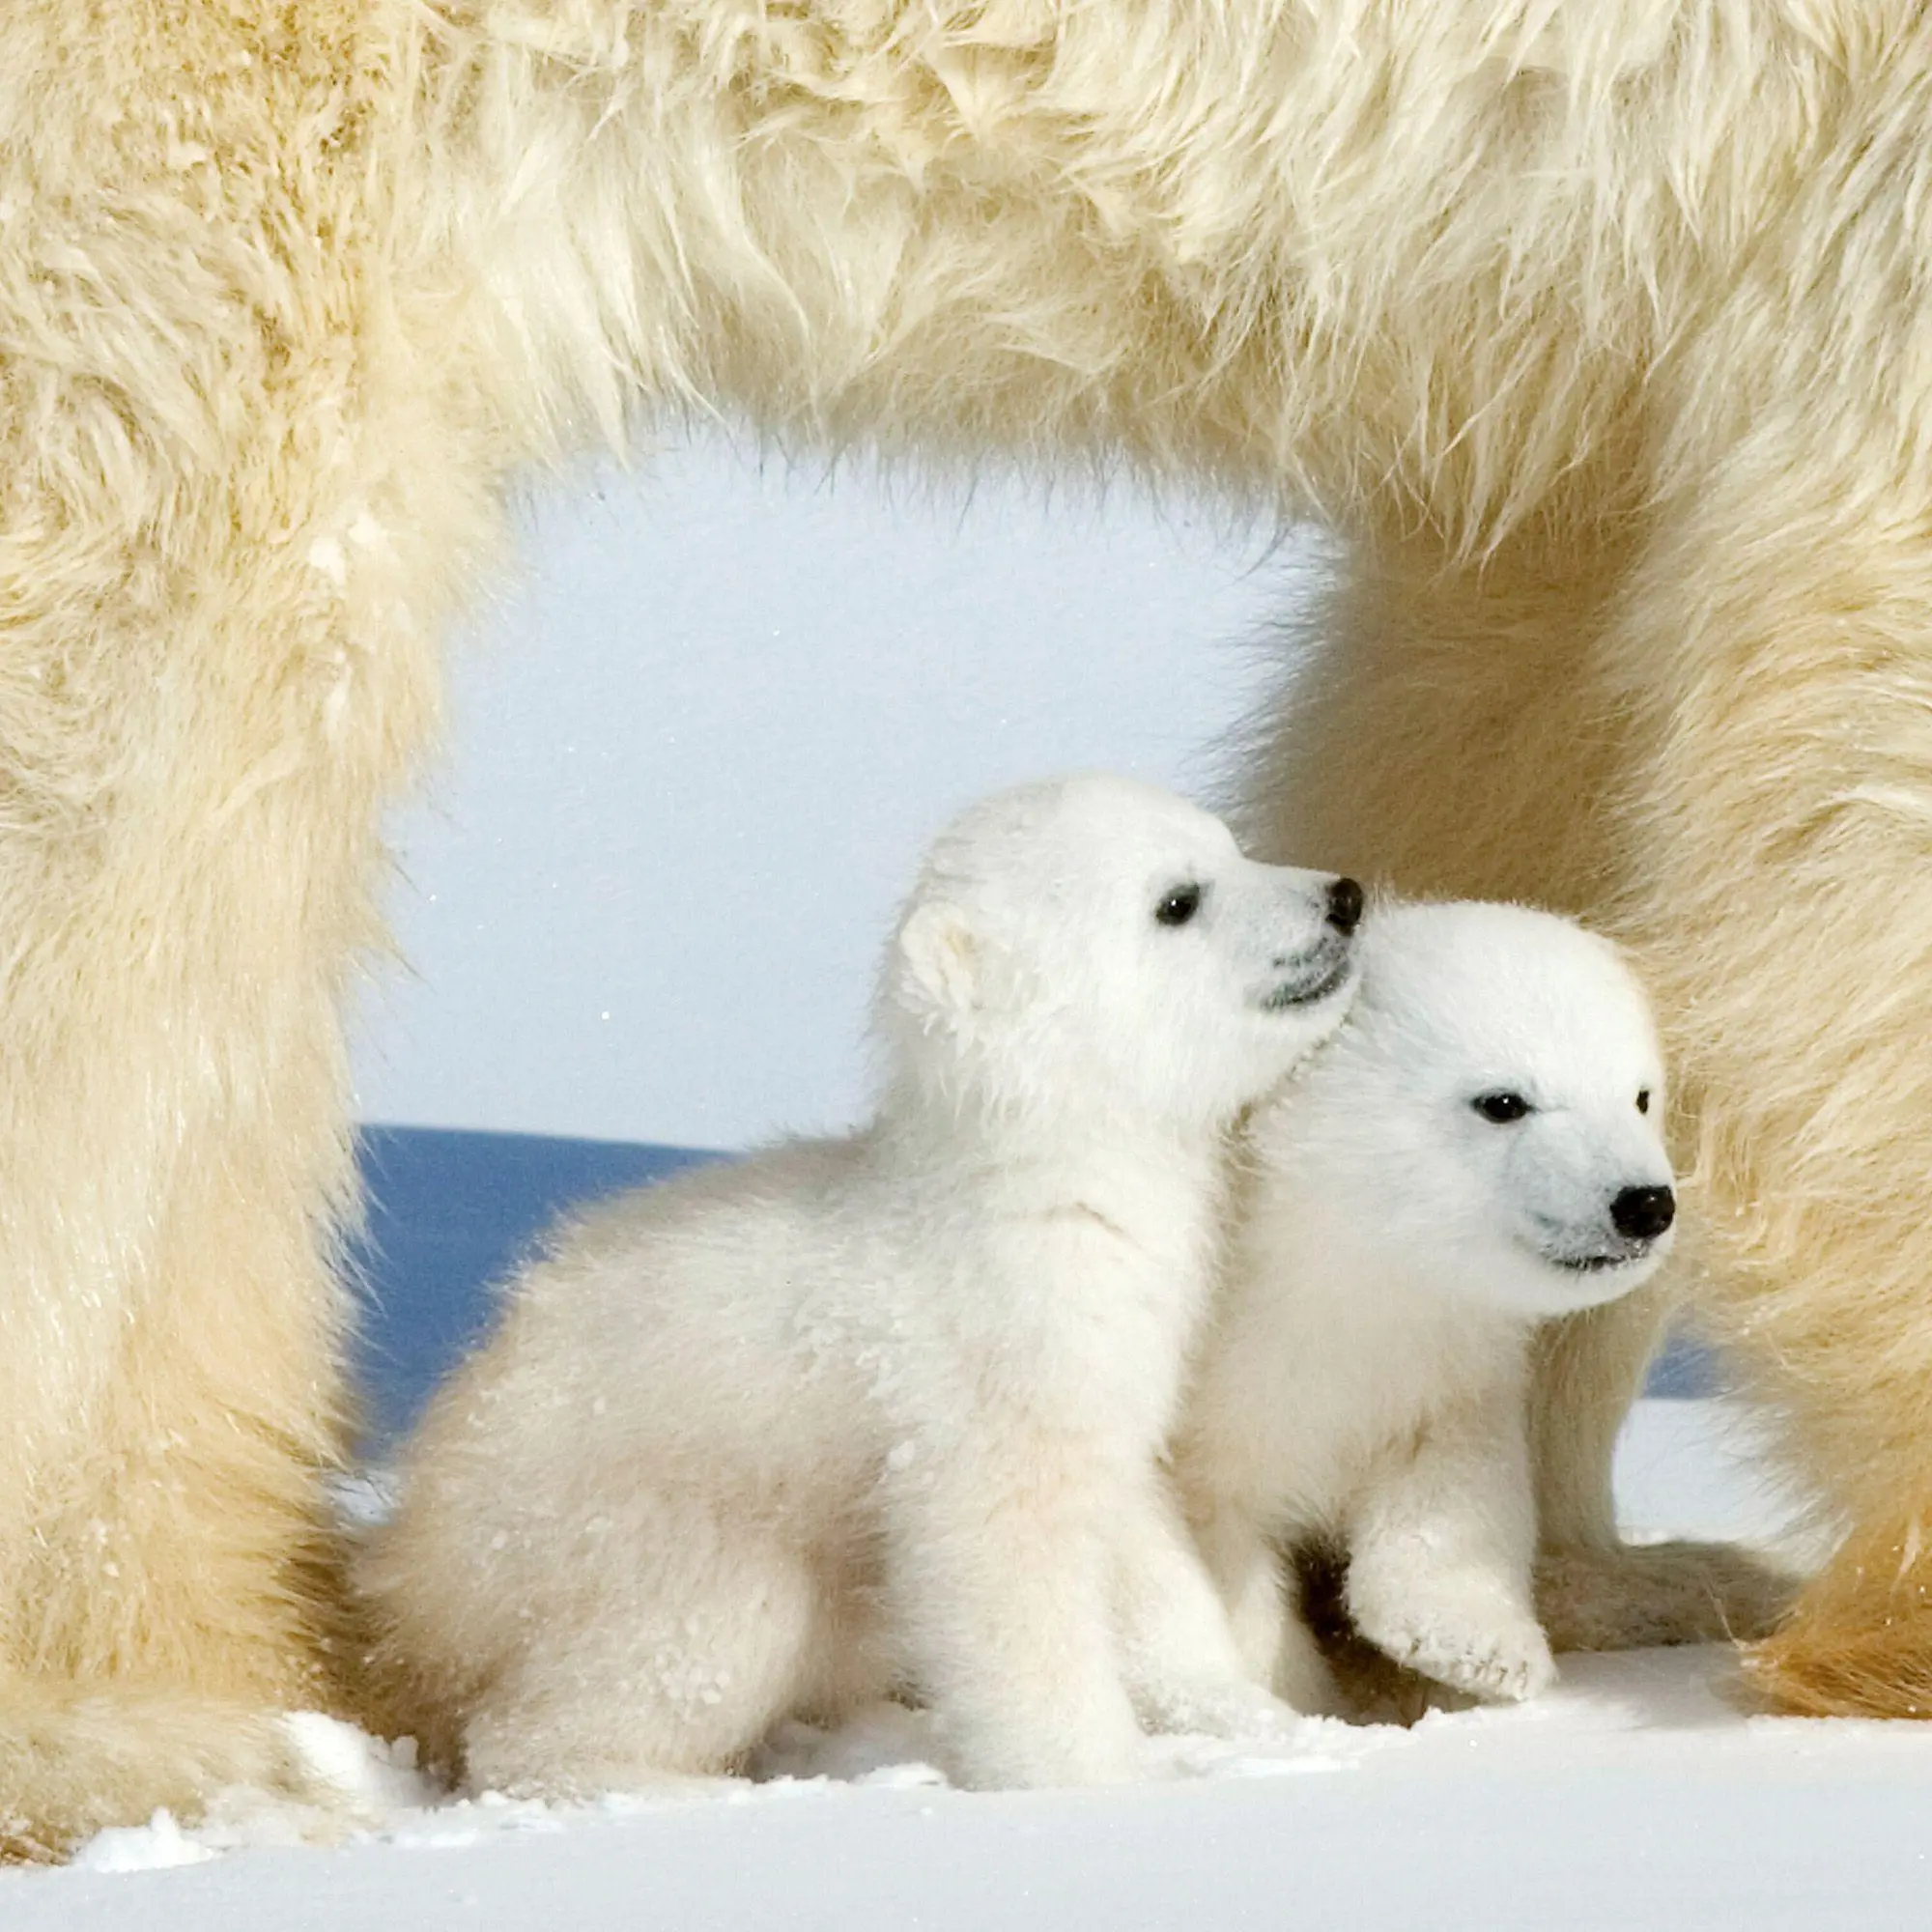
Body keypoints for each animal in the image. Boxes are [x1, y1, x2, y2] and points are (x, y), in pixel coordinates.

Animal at [355, 774, 1365, 1796]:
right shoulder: (976, 1379)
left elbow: (1140, 1544)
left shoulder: (1108, 1370)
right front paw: (1096, 1779)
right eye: (1177, 900)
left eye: (1230, 844)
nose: (1345, 896)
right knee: (682, 1637)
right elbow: (1003, 1570)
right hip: (619, 1532)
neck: (1041, 1186)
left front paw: (1263, 1722)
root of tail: (411, 1577)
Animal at [1175, 901, 1683, 1719]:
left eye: (1641, 1096)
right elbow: (1221, 1552)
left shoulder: (1440, 1359)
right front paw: (1309, 1698)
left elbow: (1453, 1485)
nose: (1644, 1204)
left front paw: (1479, 1651)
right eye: (1502, 1102)